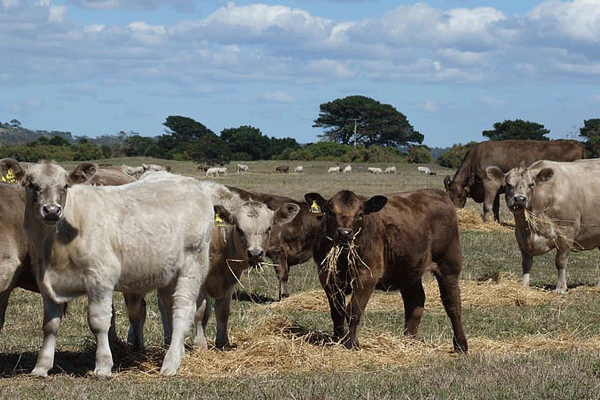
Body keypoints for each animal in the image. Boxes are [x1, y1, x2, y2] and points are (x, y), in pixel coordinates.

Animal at [21, 161, 213, 376]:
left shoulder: (101, 278)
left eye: (65, 186)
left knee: (183, 309)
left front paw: (103, 365)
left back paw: (170, 363)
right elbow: (50, 325)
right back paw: (177, 353)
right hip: (169, 274)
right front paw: (41, 366)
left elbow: (99, 322)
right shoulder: (47, 284)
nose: (52, 211)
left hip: (192, 266)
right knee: (169, 307)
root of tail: (194, 184)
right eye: (31, 185)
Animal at [304, 189, 468, 352]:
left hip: (448, 265)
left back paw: (461, 344)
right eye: (331, 212)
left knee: (452, 303)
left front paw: (351, 344)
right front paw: (337, 340)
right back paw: (408, 339)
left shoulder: (367, 276)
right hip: (409, 271)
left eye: (360, 214)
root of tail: (438, 193)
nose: (345, 233)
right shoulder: (327, 276)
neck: (344, 258)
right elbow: (337, 312)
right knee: (415, 301)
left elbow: (354, 311)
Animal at [488, 159, 600, 294]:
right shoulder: (521, 236)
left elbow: (560, 262)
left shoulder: (567, 232)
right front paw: (524, 286)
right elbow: (526, 263)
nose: (519, 199)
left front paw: (561, 288)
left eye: (531, 184)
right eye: (509, 184)